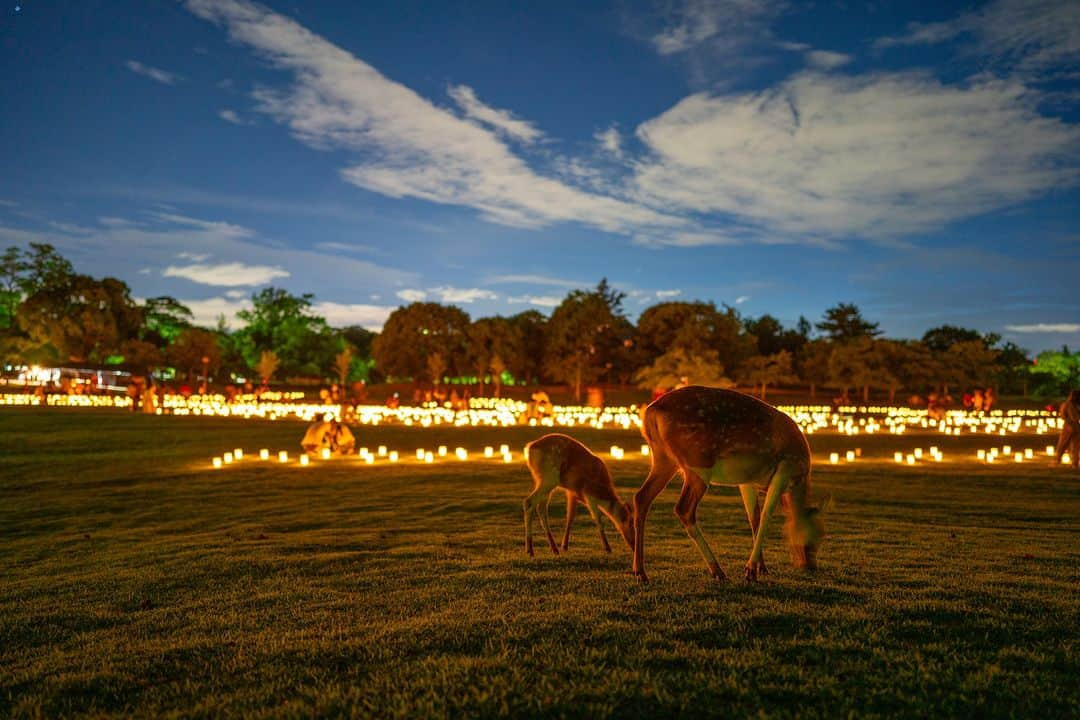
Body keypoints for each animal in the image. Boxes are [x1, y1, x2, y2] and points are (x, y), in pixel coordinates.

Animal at [630, 386, 825, 582]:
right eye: (817, 535)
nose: (811, 566)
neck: (798, 482)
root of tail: (651, 413)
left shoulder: (747, 480)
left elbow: (753, 517)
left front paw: (761, 567)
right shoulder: (785, 468)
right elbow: (766, 515)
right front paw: (750, 570)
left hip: (663, 459)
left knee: (641, 497)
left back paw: (640, 572)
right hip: (698, 463)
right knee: (683, 508)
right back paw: (717, 571)